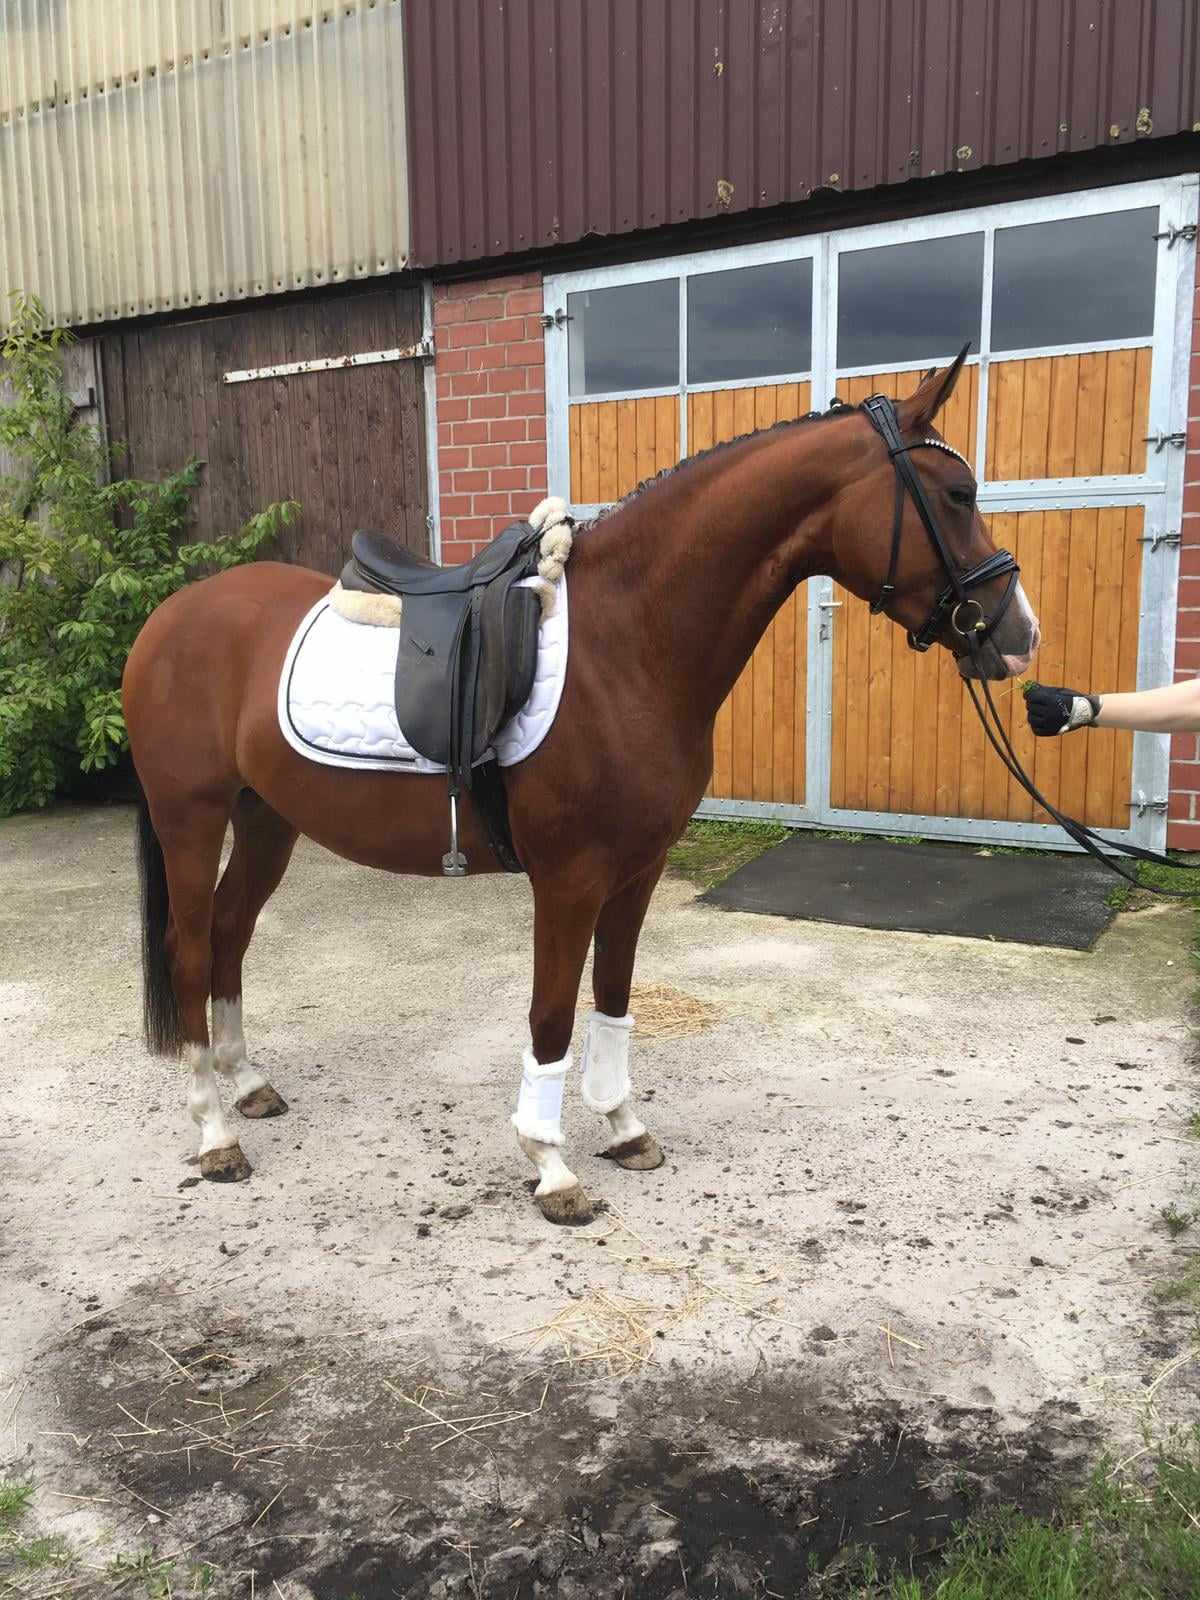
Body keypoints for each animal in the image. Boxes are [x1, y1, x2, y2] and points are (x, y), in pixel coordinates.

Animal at [122, 351, 1040, 1225]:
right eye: (957, 494)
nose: (1019, 634)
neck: (628, 642)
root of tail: (167, 618)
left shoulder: (638, 869)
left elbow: (612, 997)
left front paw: (624, 1128)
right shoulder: (569, 879)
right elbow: (552, 1015)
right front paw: (552, 1166)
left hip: (267, 819)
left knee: (231, 936)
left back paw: (248, 1087)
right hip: (190, 819)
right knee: (190, 948)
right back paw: (215, 1132)